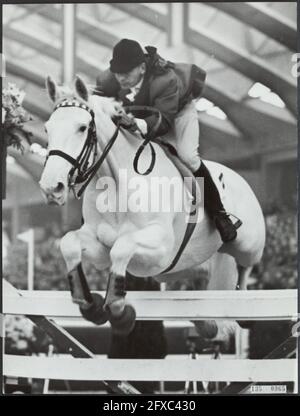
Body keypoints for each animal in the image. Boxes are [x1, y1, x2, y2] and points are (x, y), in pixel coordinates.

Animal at [39, 76, 264, 338]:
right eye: (47, 129)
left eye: (82, 128)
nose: (51, 187)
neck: (116, 185)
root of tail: (239, 177)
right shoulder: (100, 248)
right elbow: (70, 243)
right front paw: (90, 305)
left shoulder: (161, 247)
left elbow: (122, 248)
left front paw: (119, 313)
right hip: (185, 267)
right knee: (201, 280)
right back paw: (205, 323)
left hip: (249, 245)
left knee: (245, 268)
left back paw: (243, 309)